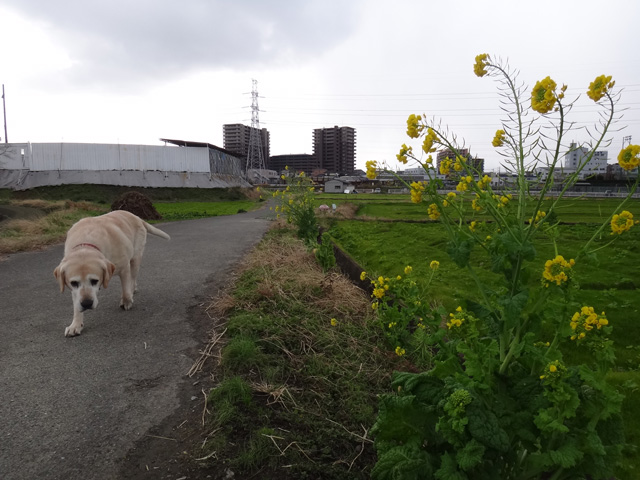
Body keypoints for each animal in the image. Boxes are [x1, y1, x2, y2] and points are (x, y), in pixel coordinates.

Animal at [53, 210, 170, 338]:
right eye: (74, 283)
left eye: (95, 281)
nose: (87, 303)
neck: (85, 244)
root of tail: (136, 217)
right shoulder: (75, 291)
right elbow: (76, 306)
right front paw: (76, 325)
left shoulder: (124, 268)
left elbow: (125, 290)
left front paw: (126, 301)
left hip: (135, 259)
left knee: (132, 278)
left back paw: (131, 290)